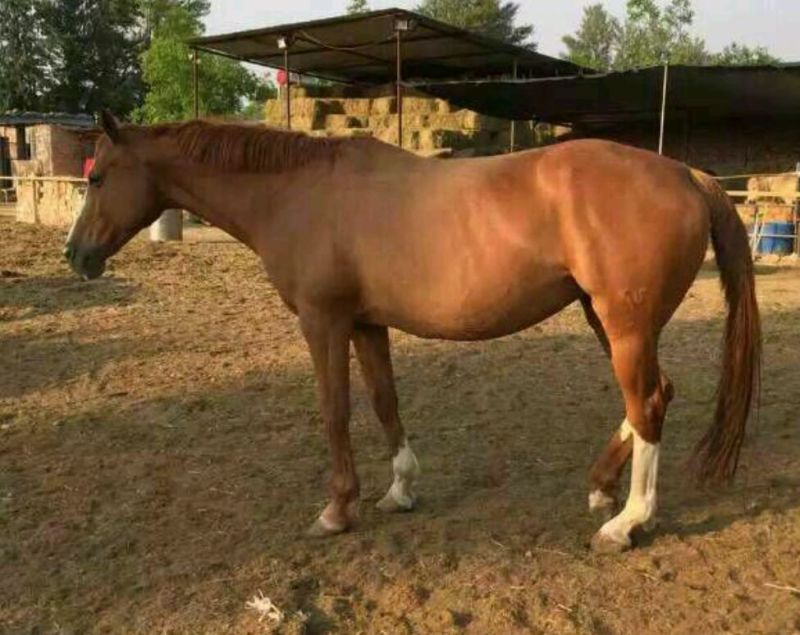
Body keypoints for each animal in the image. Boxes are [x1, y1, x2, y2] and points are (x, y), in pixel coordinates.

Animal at [64, 111, 760, 552]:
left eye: (97, 177)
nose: (76, 255)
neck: (299, 193)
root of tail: (685, 174)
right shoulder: (366, 324)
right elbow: (383, 403)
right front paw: (399, 490)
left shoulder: (323, 321)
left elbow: (335, 411)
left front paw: (336, 510)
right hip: (603, 318)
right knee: (650, 398)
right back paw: (600, 488)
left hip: (623, 323)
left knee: (647, 403)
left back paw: (628, 523)